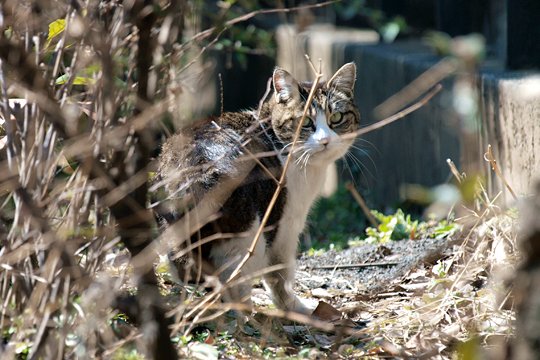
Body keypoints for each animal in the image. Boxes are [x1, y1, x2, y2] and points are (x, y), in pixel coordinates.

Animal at [155, 62, 358, 316]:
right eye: (305, 122)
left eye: (336, 117)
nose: (325, 141)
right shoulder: (286, 224)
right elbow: (280, 274)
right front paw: (295, 308)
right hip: (250, 233)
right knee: (235, 279)